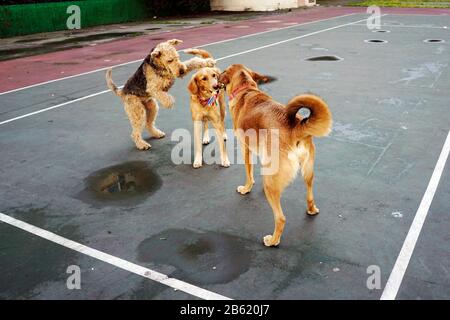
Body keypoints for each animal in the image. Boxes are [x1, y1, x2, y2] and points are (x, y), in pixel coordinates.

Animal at [220, 63, 332, 246]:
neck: (246, 90)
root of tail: (296, 128)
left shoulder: (246, 149)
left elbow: (248, 173)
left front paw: (246, 188)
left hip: (272, 187)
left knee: (280, 218)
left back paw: (273, 240)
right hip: (308, 171)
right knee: (309, 194)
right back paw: (311, 209)